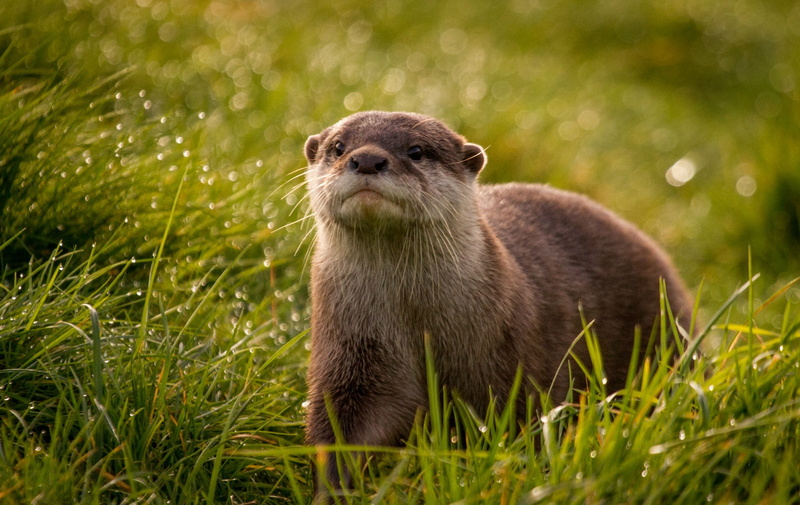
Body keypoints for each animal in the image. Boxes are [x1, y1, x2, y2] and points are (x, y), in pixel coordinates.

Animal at [302, 111, 692, 495]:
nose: (367, 159)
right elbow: (341, 429)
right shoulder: (351, 356)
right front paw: (331, 491)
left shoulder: (513, 364)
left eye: (416, 151)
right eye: (338, 147)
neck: (417, 324)